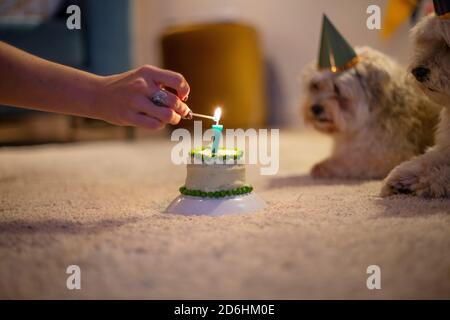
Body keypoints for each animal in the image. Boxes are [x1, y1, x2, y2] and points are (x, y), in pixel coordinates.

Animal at [302, 46, 440, 180]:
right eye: (315, 86)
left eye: (337, 90)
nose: (315, 108)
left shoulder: (384, 158)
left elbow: (349, 161)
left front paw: (323, 166)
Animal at [382, 14, 450, 198]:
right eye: (426, 41)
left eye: (448, 45)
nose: (417, 71)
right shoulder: (445, 147)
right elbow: (426, 158)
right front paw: (403, 176)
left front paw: (426, 181)